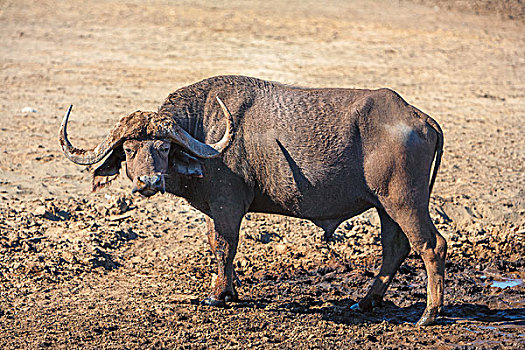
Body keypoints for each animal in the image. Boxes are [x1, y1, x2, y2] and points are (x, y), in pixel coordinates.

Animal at [61, 76, 446, 326]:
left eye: (165, 147)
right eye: (129, 149)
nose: (149, 181)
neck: (205, 131)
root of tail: (420, 118)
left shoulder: (227, 206)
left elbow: (224, 246)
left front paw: (218, 295)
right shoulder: (215, 209)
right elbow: (218, 245)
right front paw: (227, 290)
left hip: (405, 202)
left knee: (431, 245)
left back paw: (428, 314)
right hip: (385, 207)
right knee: (396, 247)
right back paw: (365, 302)